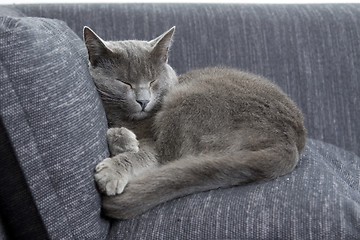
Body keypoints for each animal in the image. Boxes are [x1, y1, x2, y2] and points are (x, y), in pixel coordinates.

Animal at [83, 26, 306, 219]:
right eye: (124, 82)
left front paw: (112, 171)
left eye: (153, 81)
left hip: (184, 98)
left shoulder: (153, 142)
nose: (143, 101)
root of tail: (289, 140)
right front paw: (123, 139)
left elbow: (143, 155)